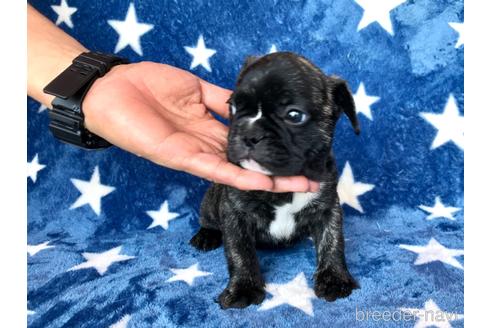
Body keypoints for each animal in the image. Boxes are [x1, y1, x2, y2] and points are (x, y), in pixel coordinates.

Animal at [190, 52, 360, 308]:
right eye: (233, 106)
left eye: (294, 115)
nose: (249, 133)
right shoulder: (234, 212)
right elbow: (239, 251)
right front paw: (244, 288)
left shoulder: (328, 207)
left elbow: (333, 241)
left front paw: (334, 278)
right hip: (211, 202)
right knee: (208, 219)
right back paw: (206, 235)